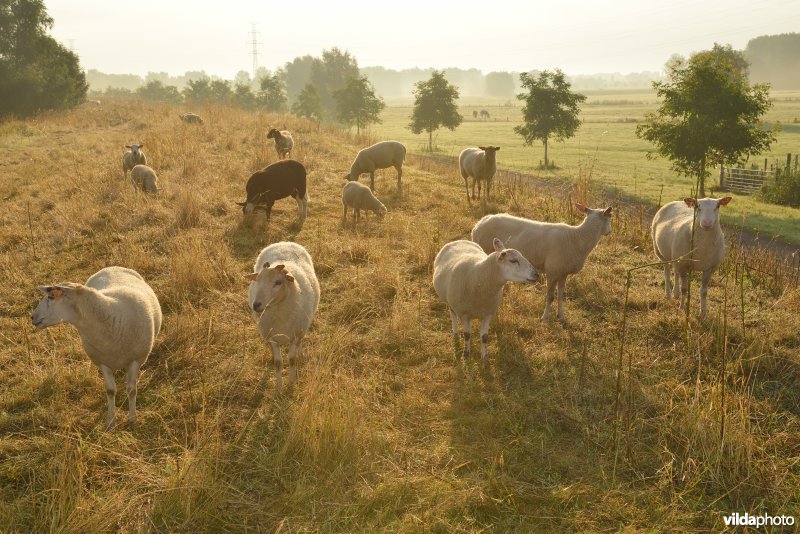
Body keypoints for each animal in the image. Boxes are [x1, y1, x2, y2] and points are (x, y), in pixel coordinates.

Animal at [30, 268, 162, 432]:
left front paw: (132, 419)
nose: (32, 317)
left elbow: (131, 389)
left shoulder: (136, 360)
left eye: (50, 297)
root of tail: (112, 267)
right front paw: (111, 421)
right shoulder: (102, 362)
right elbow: (110, 391)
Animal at [245, 243, 320, 390]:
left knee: (301, 342)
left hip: (302, 328)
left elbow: (291, 359)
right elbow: (278, 363)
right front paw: (279, 387)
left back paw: (301, 354)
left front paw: (291, 383)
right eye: (257, 281)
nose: (256, 305)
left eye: (278, 282)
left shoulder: (294, 336)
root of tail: (284, 242)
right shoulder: (273, 337)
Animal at [468, 204, 612, 322]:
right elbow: (550, 297)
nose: (609, 232)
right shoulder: (552, 271)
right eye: (610, 217)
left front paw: (561, 316)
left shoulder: (563, 272)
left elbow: (560, 296)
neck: (578, 238)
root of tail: (478, 224)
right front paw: (545, 318)